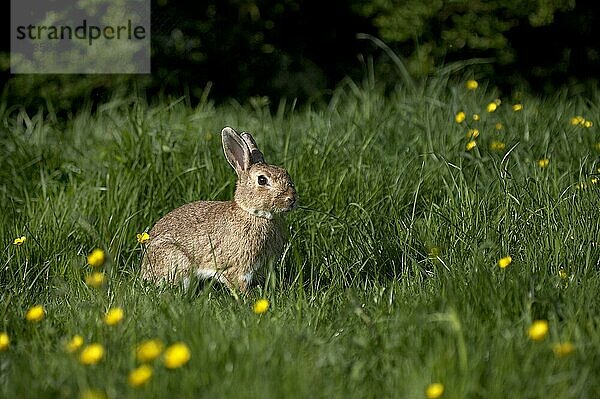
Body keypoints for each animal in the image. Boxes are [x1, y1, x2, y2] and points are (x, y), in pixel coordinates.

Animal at [143, 126, 298, 296]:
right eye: (262, 180)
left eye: (285, 172)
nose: (292, 198)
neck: (254, 214)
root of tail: (144, 270)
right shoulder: (237, 268)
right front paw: (249, 298)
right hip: (177, 260)